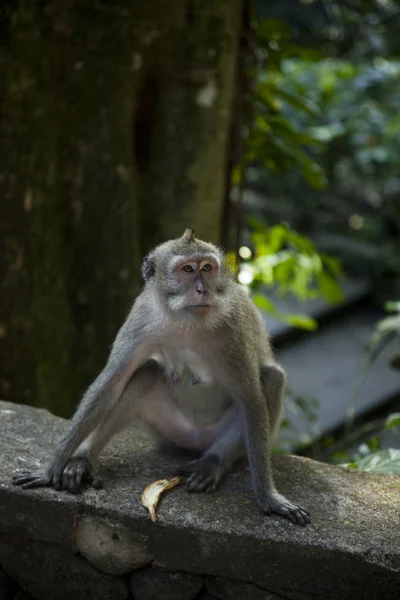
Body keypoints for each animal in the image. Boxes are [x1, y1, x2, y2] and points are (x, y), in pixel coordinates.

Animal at [10, 230, 308, 524]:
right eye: (187, 269)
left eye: (207, 268)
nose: (202, 289)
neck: (186, 320)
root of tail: (195, 441)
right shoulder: (142, 317)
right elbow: (111, 383)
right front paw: (54, 466)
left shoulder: (233, 330)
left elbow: (251, 399)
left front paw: (268, 497)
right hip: (168, 429)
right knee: (146, 373)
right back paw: (84, 459)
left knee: (272, 379)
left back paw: (213, 462)